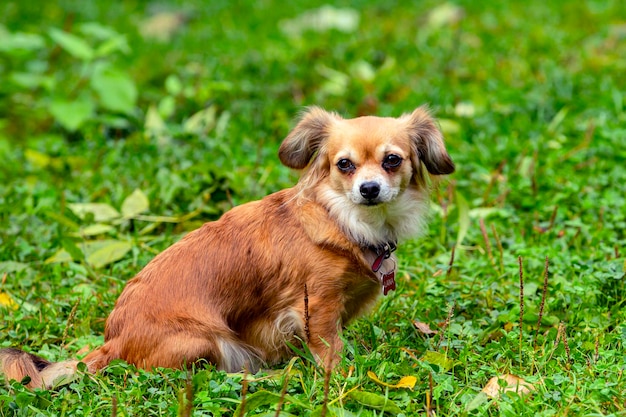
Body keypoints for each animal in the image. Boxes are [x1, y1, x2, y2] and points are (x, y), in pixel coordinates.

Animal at [0, 105, 448, 388]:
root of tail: (113, 342)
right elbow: (329, 348)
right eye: (345, 165)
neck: (347, 221)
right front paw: (339, 378)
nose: (368, 189)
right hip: (206, 341)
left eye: (392, 160)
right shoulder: (316, 304)